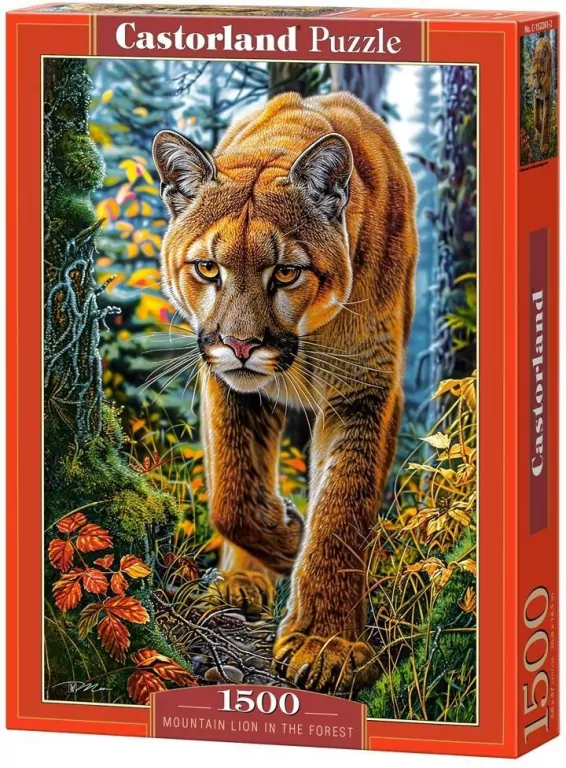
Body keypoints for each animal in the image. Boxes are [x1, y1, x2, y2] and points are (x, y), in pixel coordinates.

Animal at [153, 92, 417, 692]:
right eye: (208, 267)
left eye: (287, 273)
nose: (241, 344)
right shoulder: (226, 384)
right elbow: (232, 492)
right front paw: (287, 537)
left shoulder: (365, 388)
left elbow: (343, 511)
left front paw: (326, 644)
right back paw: (240, 582)